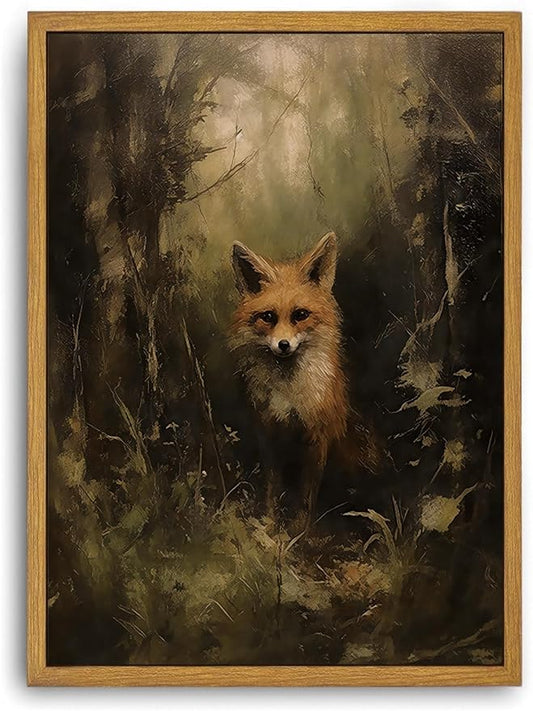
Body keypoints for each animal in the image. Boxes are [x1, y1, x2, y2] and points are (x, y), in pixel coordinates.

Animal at [229, 232, 350, 528]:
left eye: (300, 315)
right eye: (268, 317)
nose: (283, 345)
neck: (289, 396)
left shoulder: (317, 439)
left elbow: (306, 498)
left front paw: (300, 532)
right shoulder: (269, 434)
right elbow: (272, 487)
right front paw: (270, 524)